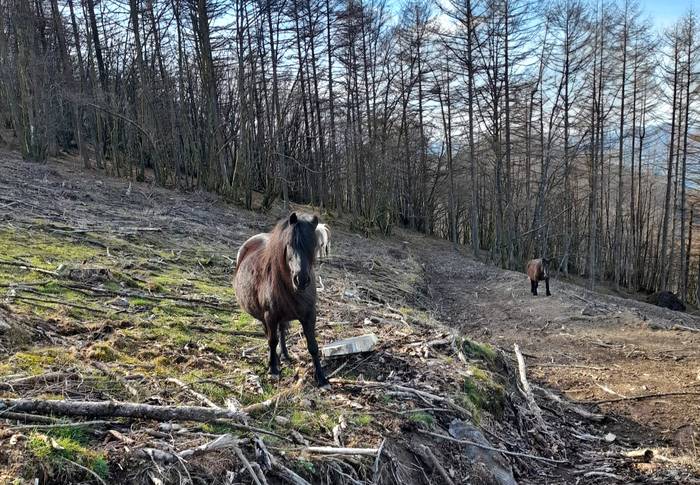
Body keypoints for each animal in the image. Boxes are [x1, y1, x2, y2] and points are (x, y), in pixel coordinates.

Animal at [234, 212, 330, 386]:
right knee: (270, 335)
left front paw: (321, 377)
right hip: (264, 316)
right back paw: (274, 360)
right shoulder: (270, 316)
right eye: (290, 244)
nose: (301, 280)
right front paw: (273, 369)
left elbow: (313, 345)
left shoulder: (309, 315)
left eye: (313, 245)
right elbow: (272, 341)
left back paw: (284, 355)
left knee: (282, 331)